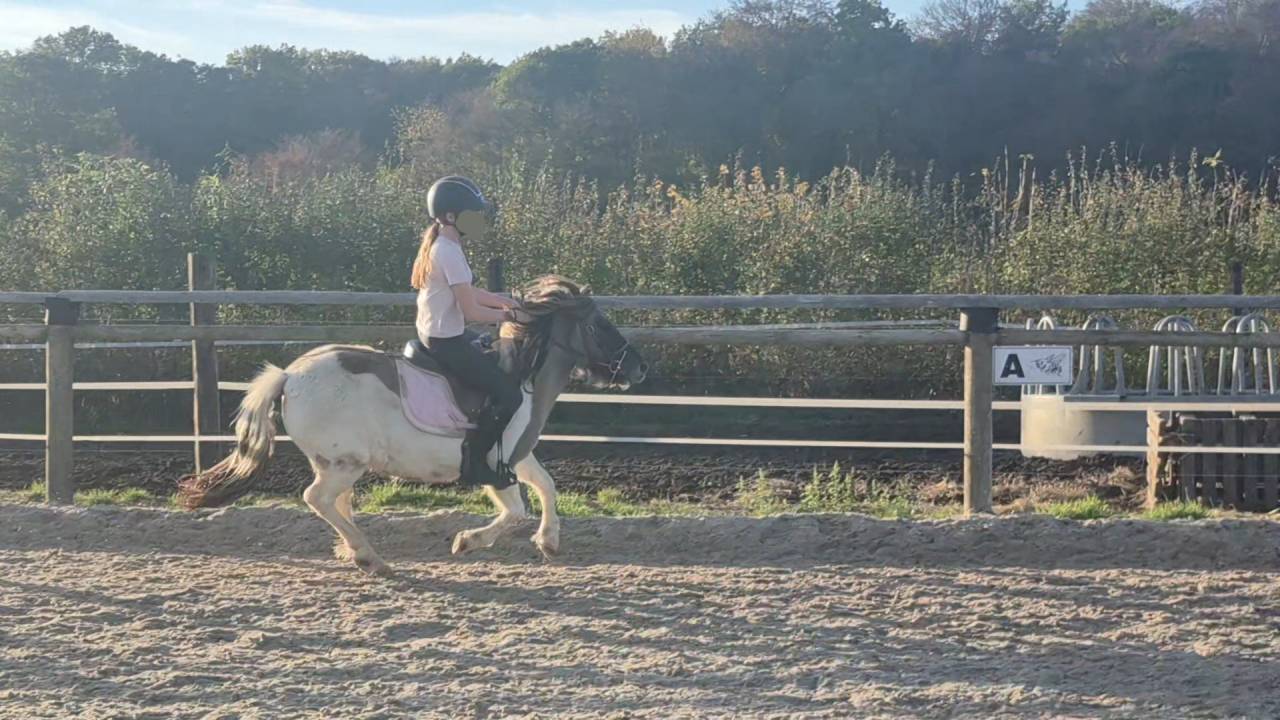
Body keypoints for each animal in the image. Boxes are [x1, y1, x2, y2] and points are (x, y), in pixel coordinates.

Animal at [177, 276, 647, 575]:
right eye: (600, 324)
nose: (639, 368)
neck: (521, 378)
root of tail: (289, 375)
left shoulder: (518, 455)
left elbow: (547, 486)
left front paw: (548, 542)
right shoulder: (495, 464)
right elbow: (515, 510)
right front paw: (467, 541)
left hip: (335, 462)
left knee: (335, 503)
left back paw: (356, 552)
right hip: (345, 462)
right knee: (318, 499)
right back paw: (370, 558)